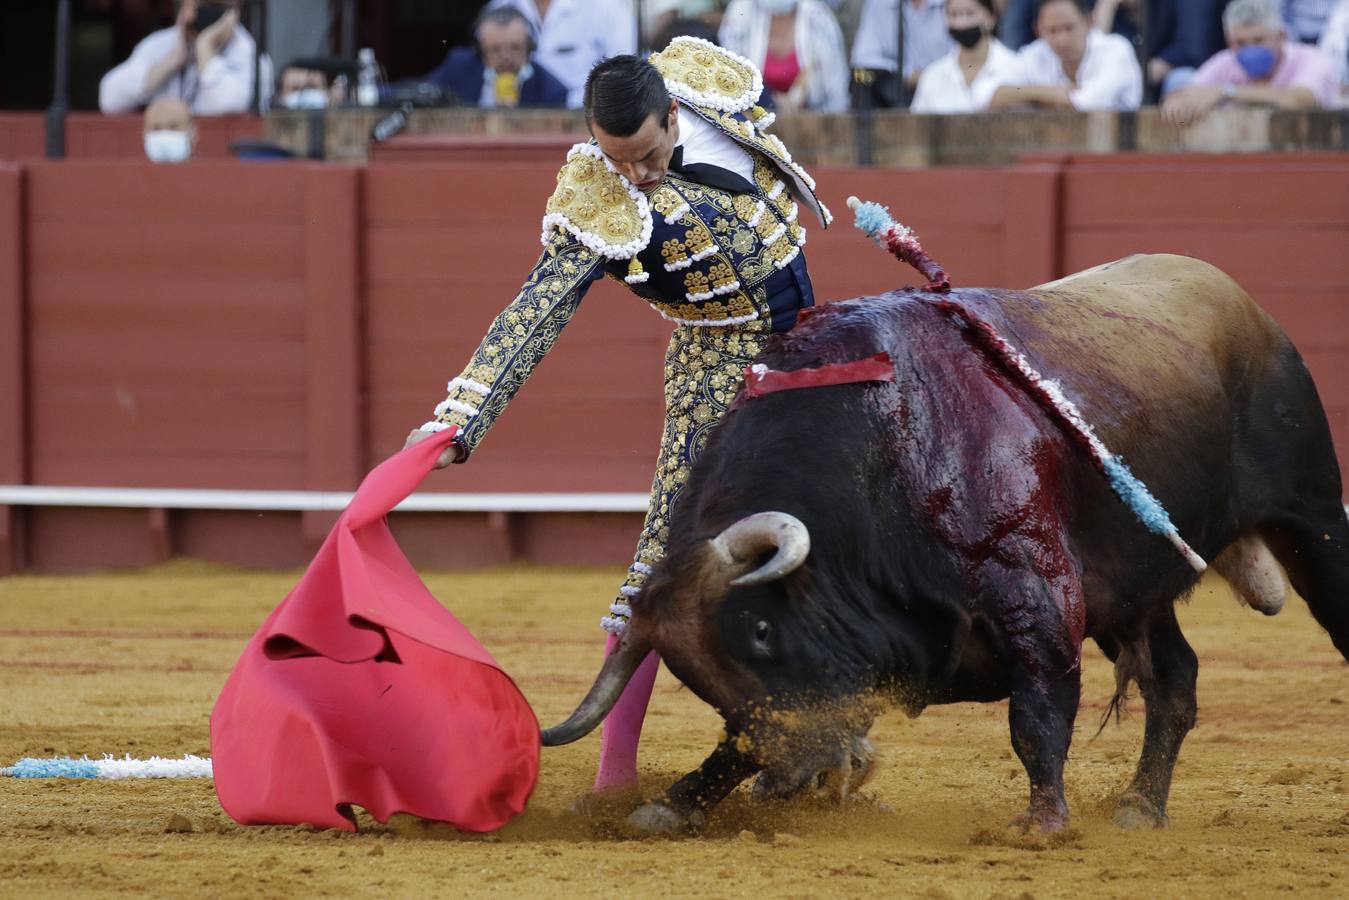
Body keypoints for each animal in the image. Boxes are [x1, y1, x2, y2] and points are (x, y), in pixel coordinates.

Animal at [539, 253, 1349, 831]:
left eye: (762, 630)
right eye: (690, 674)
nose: (794, 777)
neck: (881, 448)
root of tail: (1241, 300)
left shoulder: (1035, 594)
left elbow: (1037, 711)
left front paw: (1041, 824)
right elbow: (744, 733)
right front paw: (669, 804)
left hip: (1310, 514)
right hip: (1133, 588)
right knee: (1174, 680)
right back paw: (1140, 806)